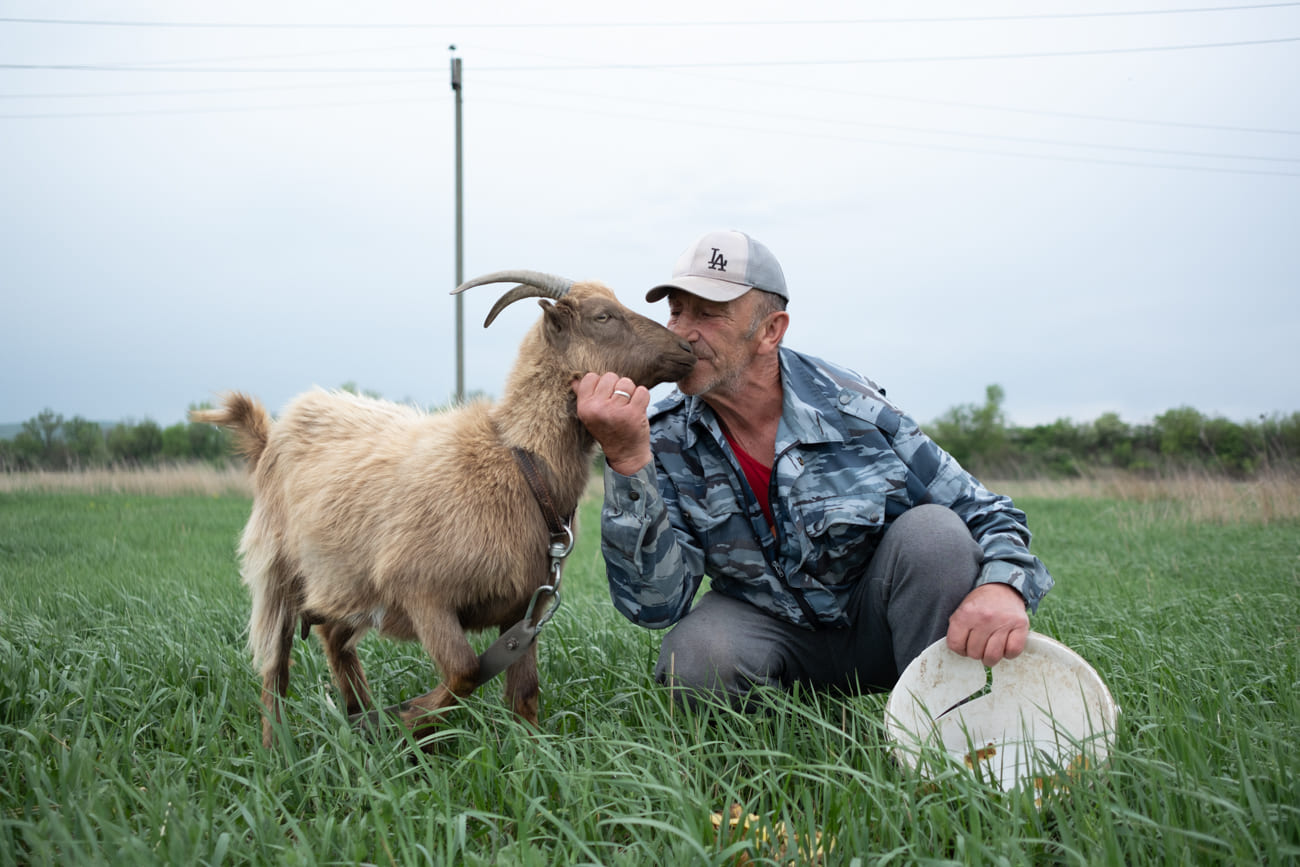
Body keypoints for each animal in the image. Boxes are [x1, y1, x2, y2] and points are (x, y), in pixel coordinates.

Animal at [192, 272, 696, 748]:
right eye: (602, 316)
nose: (687, 348)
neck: (520, 464)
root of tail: (270, 435)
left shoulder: (524, 611)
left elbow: (525, 695)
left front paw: (533, 759)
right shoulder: (421, 592)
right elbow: (465, 671)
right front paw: (411, 721)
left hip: (346, 586)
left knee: (333, 641)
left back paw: (360, 721)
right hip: (276, 571)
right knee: (274, 668)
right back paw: (279, 750)